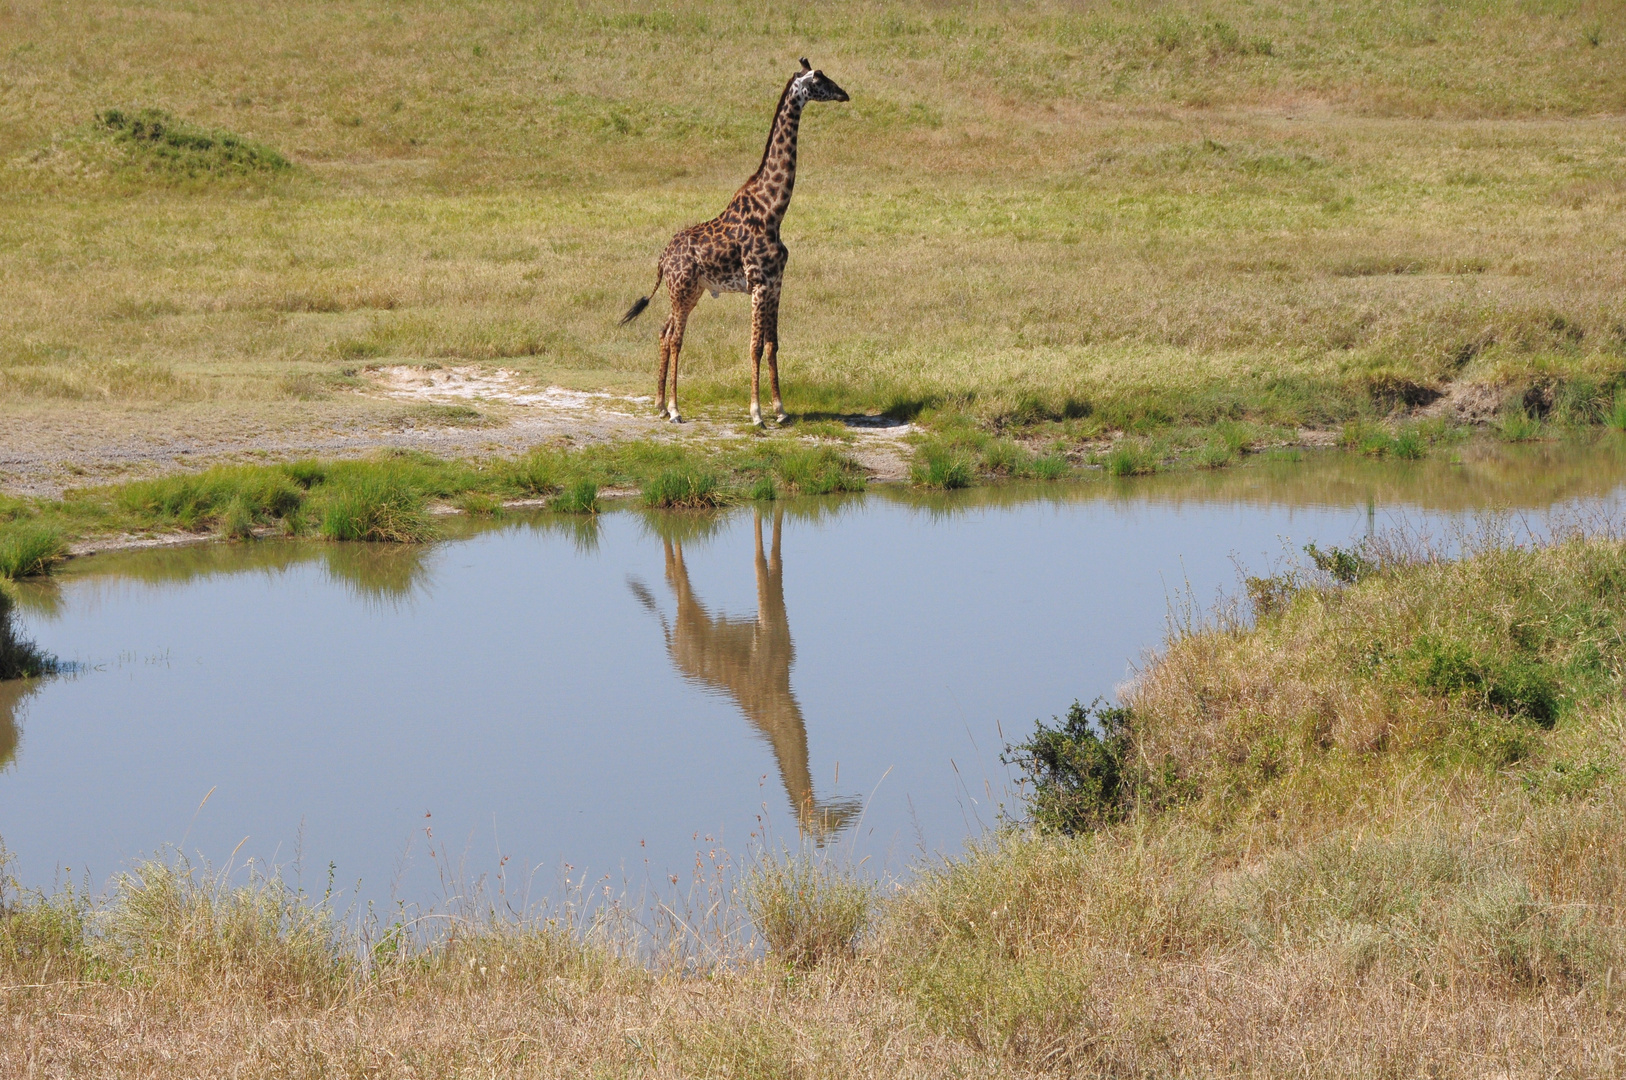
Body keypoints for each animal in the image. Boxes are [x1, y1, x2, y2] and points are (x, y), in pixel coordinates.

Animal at [617, 60, 852, 426]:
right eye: (819, 78)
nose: (844, 93)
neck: (773, 210)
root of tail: (661, 258)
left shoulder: (776, 283)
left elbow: (772, 345)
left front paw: (781, 411)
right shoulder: (758, 284)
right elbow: (754, 347)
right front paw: (756, 414)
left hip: (690, 292)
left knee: (663, 331)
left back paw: (659, 404)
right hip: (682, 290)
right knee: (675, 338)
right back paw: (675, 409)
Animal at [627, 507, 865, 845]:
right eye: (832, 824)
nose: (853, 809)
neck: (780, 689)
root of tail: (673, 652)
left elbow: (776, 553)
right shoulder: (767, 622)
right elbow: (761, 557)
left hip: (690, 618)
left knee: (671, 576)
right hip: (689, 619)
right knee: (677, 575)